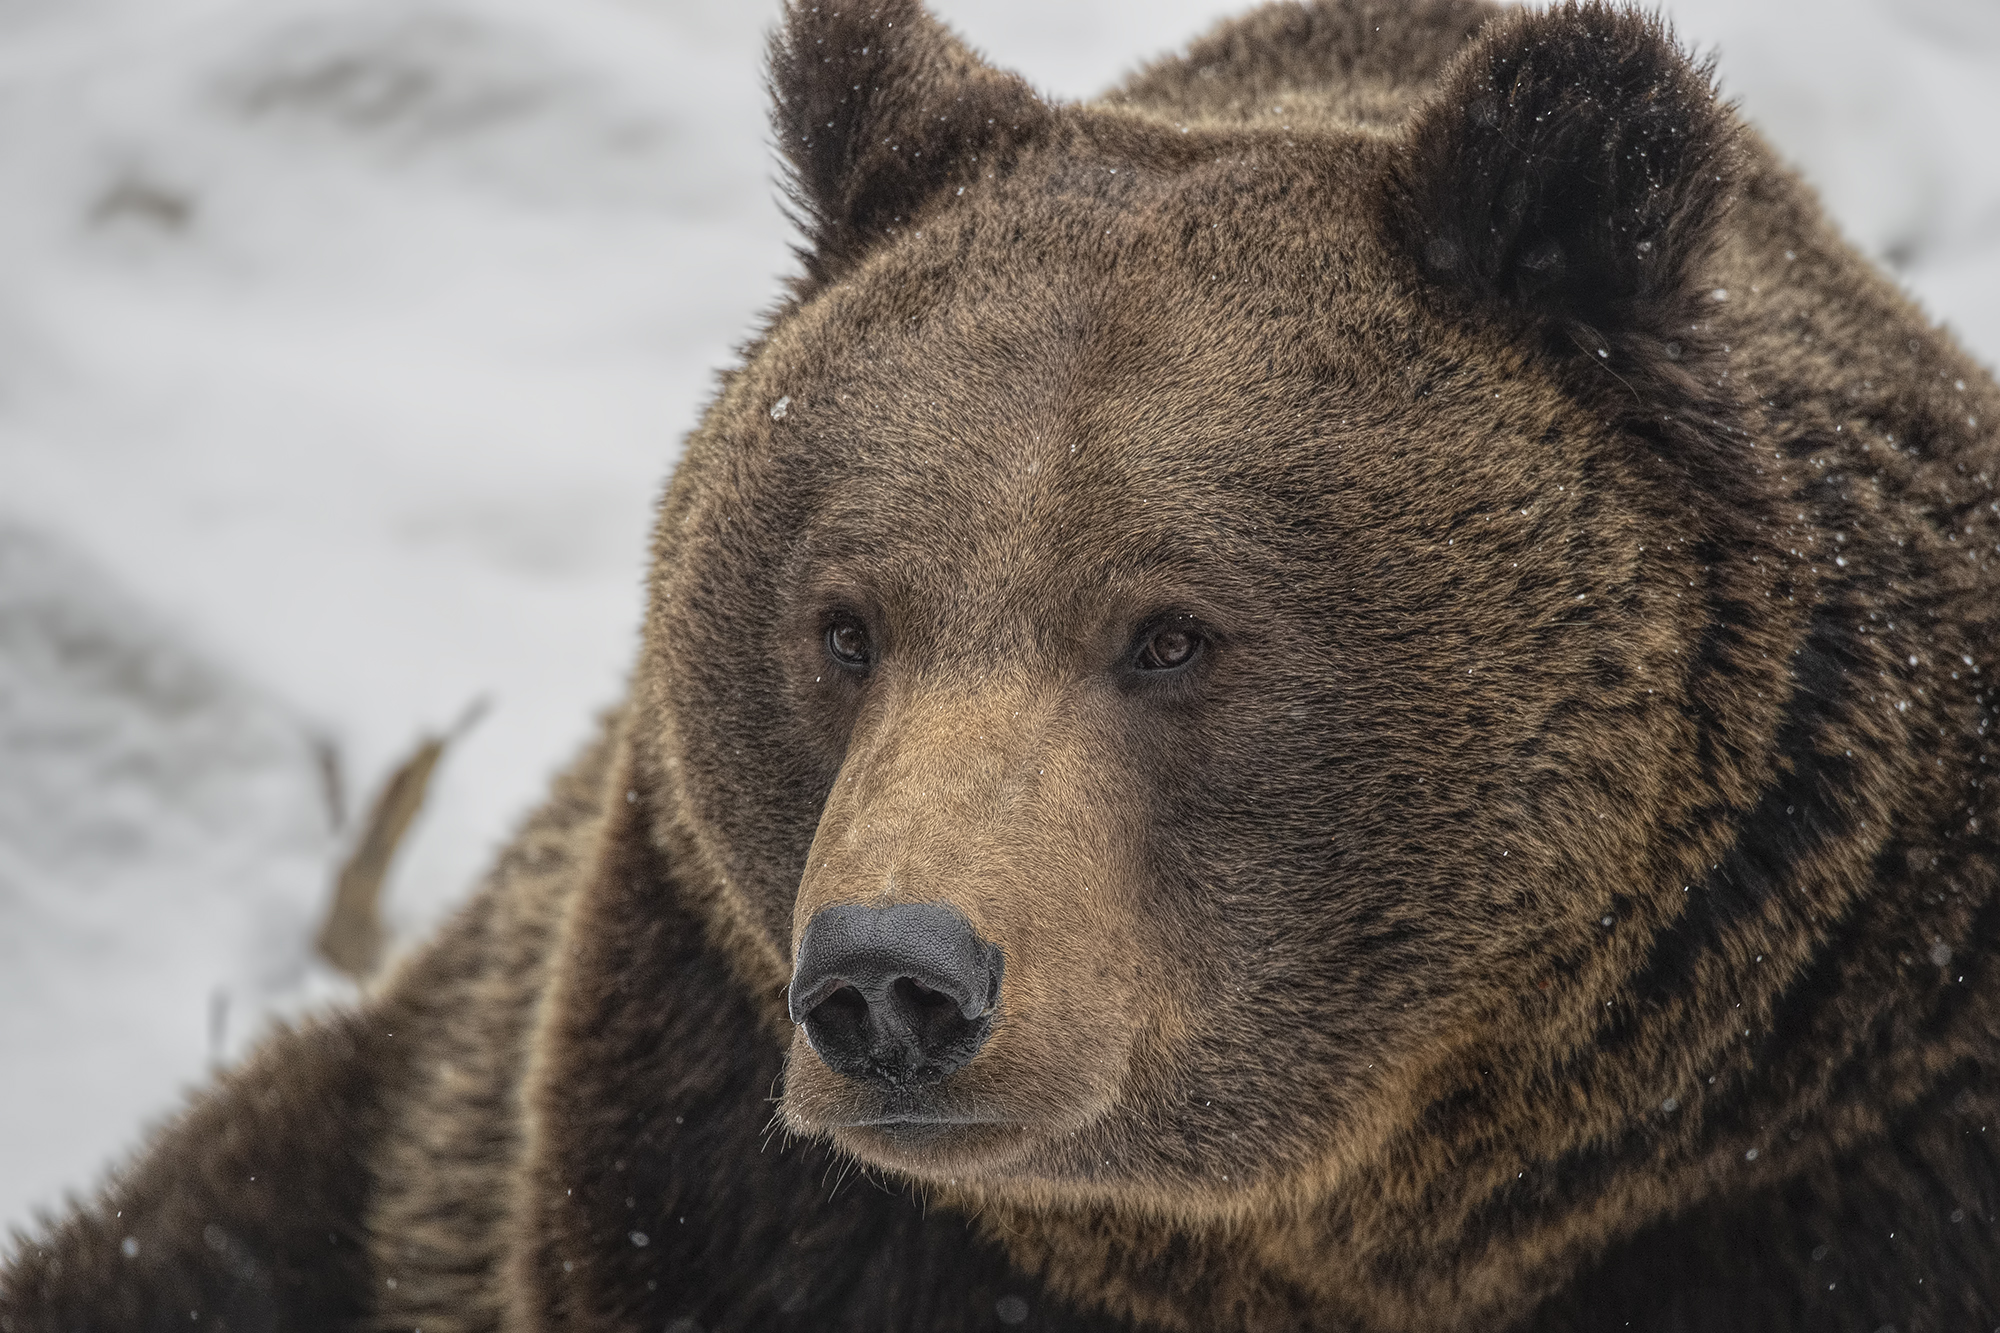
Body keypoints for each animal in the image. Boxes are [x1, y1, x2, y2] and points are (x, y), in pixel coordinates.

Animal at [6, 0, 2000, 1328]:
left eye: (1172, 632)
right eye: (843, 622)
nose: (896, 981)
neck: (1355, 1207)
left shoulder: (1816, 1137)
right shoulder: (725, 1150)